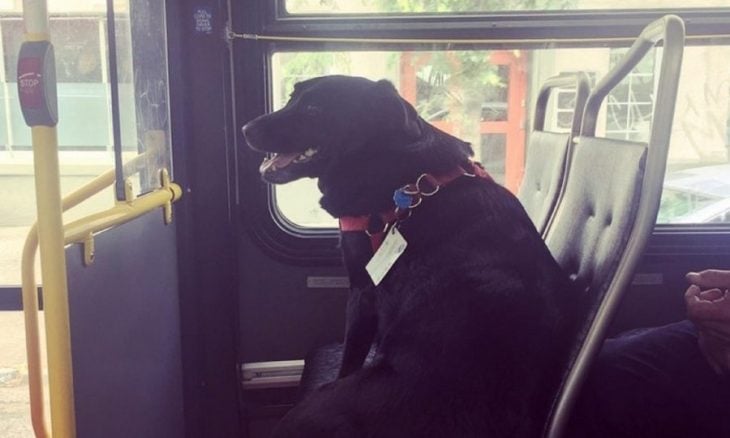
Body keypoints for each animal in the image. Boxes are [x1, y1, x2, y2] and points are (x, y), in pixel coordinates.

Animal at [243, 76, 580, 438]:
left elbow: (350, 356)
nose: (246, 129)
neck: (409, 184)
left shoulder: (362, 293)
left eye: (313, 108)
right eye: (293, 97)